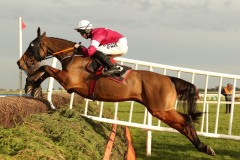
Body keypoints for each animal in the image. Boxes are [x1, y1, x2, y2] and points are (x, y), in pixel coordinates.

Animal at [16, 27, 216, 156]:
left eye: (32, 46)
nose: (20, 63)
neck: (73, 56)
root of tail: (169, 79)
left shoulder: (69, 82)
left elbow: (46, 69)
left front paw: (31, 85)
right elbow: (45, 70)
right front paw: (33, 87)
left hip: (160, 110)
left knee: (186, 121)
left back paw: (203, 147)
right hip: (161, 110)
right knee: (184, 123)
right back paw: (204, 147)